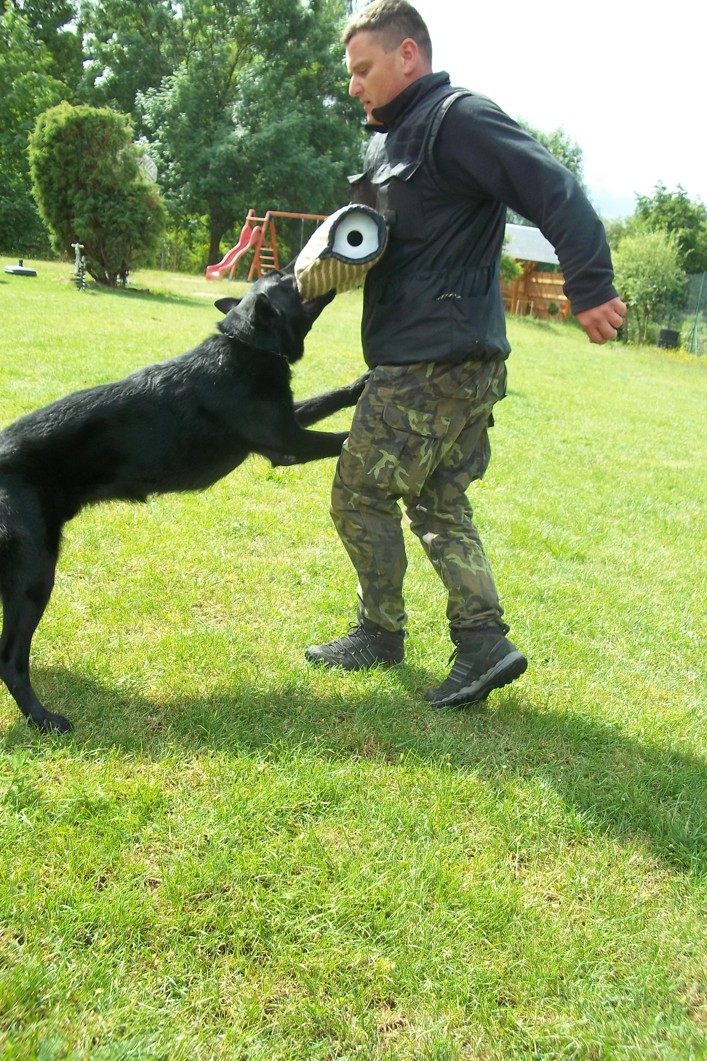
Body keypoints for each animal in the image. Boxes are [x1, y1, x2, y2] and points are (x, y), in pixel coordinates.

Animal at [0, 268, 366, 734]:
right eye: (284, 279)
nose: (296, 266)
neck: (246, 345)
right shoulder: (288, 444)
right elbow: (342, 438)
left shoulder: (289, 421)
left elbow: (328, 398)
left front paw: (361, 384)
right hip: (34, 579)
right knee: (10, 661)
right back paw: (43, 718)